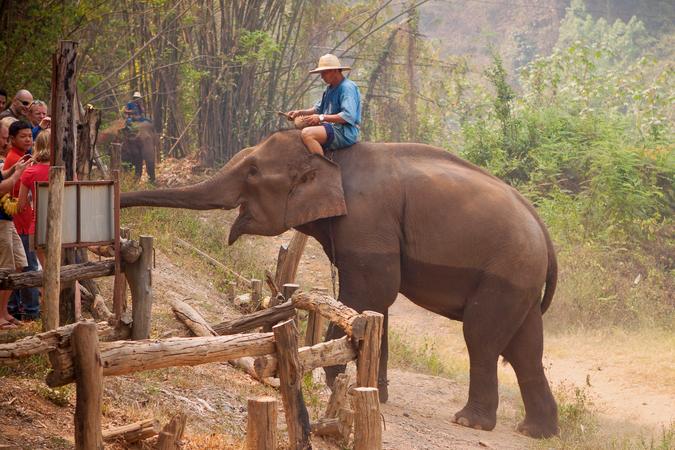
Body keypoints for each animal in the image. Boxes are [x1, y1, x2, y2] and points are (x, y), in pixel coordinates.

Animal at [121, 129, 559, 438]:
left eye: (253, 172)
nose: (118, 201)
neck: (331, 157)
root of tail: (544, 230)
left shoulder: (367, 221)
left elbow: (371, 292)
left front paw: (337, 381)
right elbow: (376, 302)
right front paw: (369, 390)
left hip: (507, 271)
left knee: (482, 338)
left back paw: (470, 422)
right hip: (520, 278)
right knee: (525, 347)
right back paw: (535, 431)